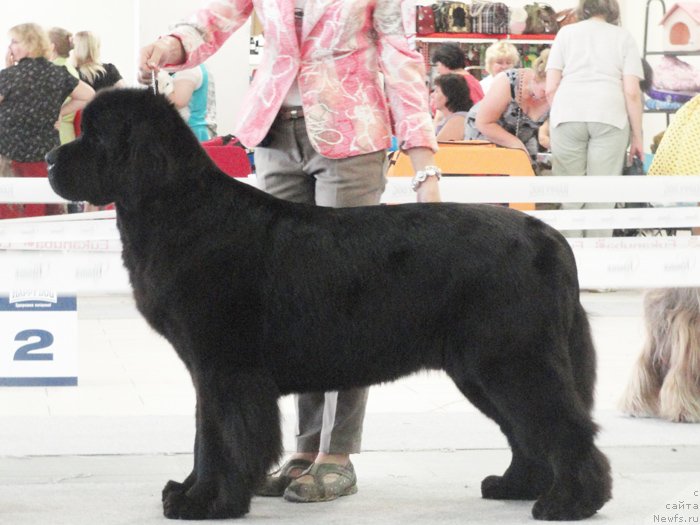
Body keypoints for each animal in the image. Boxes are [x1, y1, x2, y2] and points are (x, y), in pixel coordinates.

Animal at [46, 89, 608, 520]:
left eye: (95, 137)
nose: (50, 159)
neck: (180, 210)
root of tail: (549, 236)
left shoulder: (225, 367)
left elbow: (222, 439)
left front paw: (206, 502)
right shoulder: (209, 369)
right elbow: (206, 435)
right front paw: (189, 492)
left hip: (512, 359)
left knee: (566, 427)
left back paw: (571, 503)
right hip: (482, 368)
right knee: (526, 431)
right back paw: (516, 486)